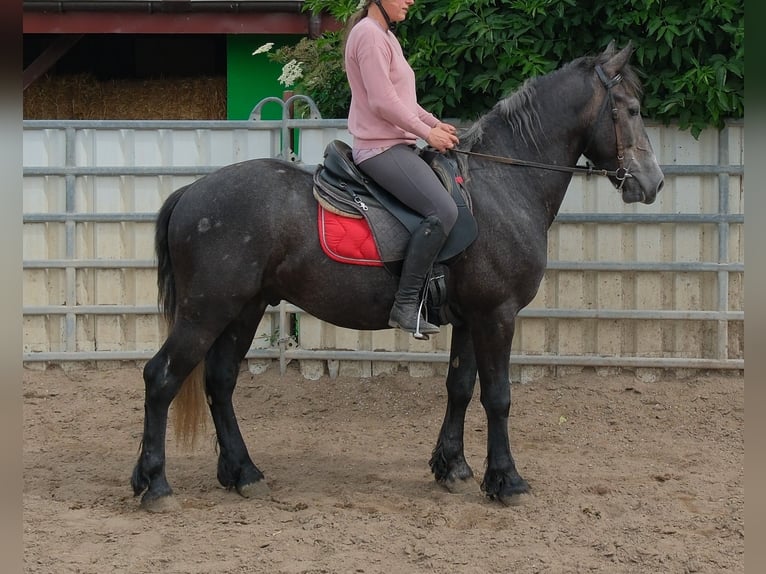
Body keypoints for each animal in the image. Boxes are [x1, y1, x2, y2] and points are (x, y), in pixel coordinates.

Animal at [131, 42, 664, 511]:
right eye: (632, 109)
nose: (653, 182)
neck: (503, 184)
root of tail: (192, 193)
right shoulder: (497, 315)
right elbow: (498, 396)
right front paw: (506, 480)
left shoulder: (471, 318)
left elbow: (459, 387)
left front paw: (452, 468)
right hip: (206, 311)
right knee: (161, 377)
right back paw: (154, 484)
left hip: (245, 308)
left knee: (219, 382)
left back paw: (243, 474)